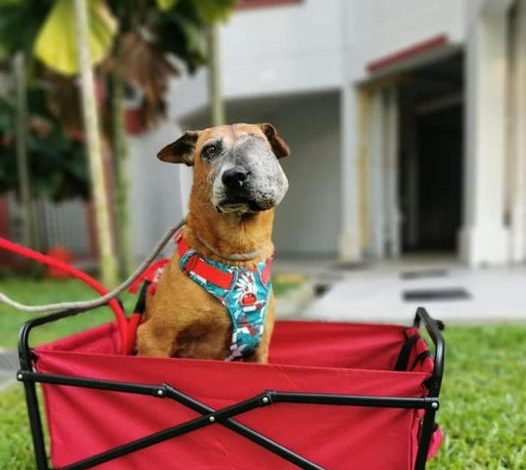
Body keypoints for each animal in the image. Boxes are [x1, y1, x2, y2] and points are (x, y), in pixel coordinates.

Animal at [136, 123, 290, 362]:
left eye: (257, 144)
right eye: (210, 150)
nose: (235, 176)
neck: (237, 256)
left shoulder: (259, 349)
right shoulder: (153, 338)